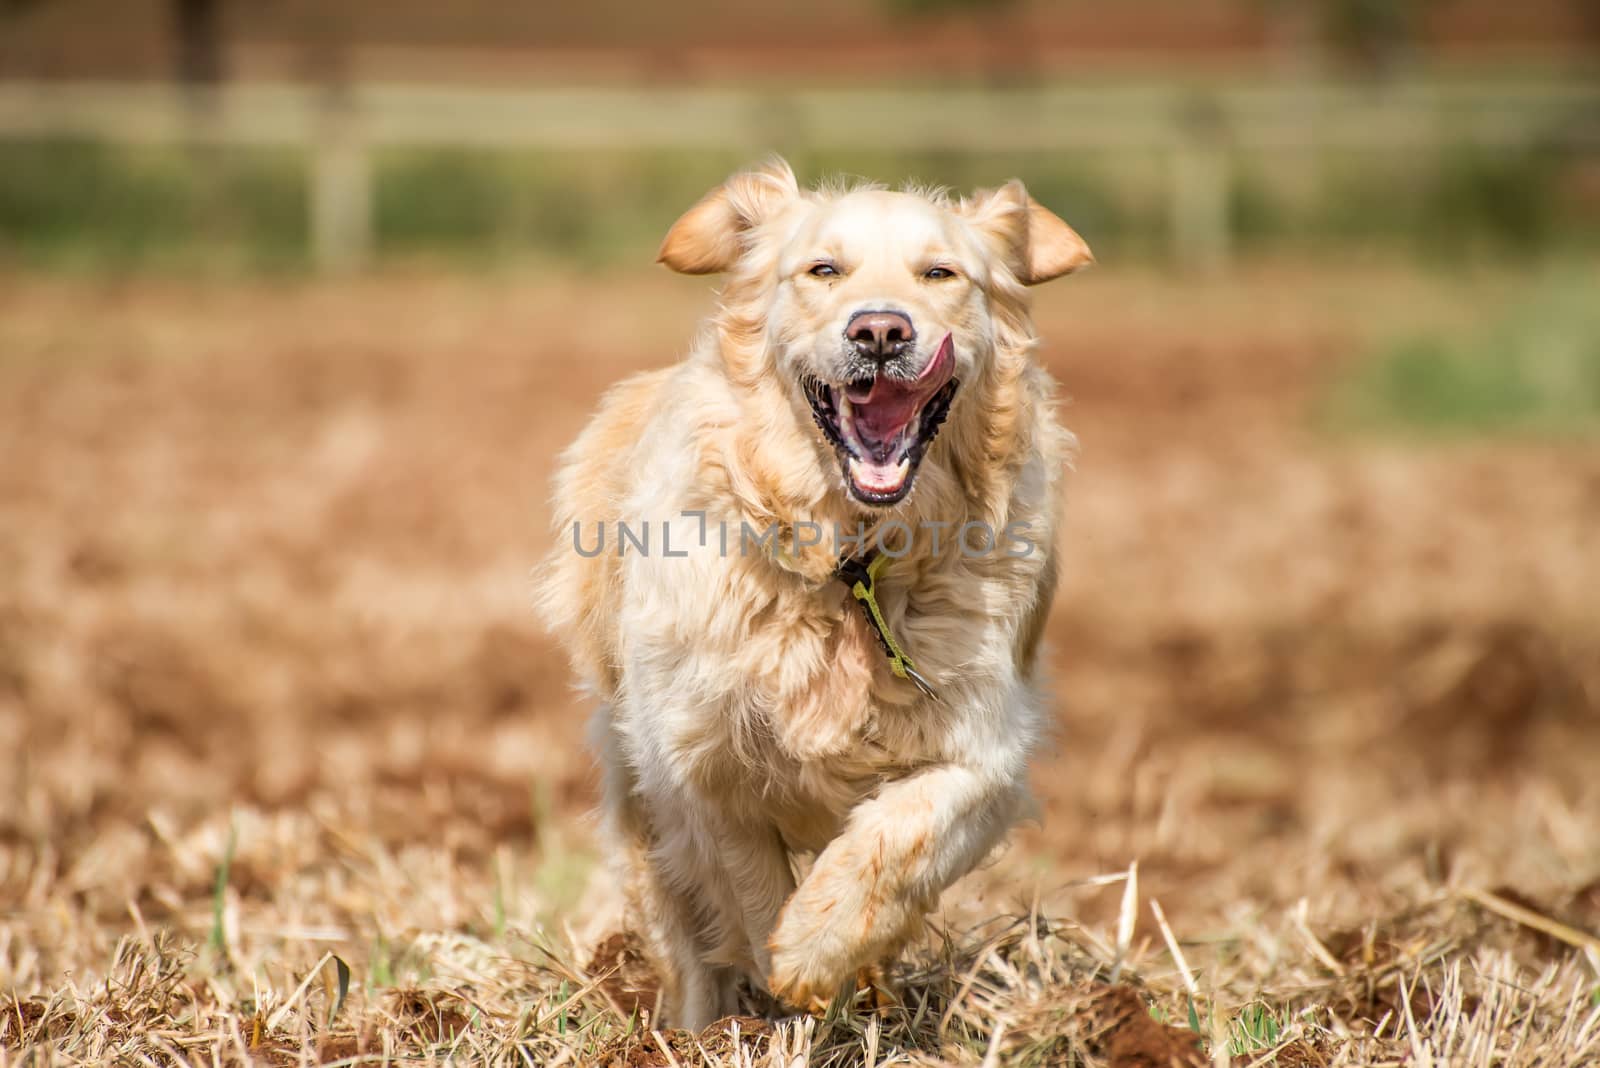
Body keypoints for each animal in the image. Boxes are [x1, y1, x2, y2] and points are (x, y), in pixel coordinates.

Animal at [537, 158, 1088, 1023]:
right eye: (823, 270)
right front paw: (780, 969)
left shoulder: (987, 748)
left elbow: (899, 833)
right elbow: (749, 881)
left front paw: (817, 946)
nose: (881, 333)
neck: (851, 561)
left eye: (941, 274)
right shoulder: (696, 762)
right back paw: (694, 1031)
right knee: (683, 943)